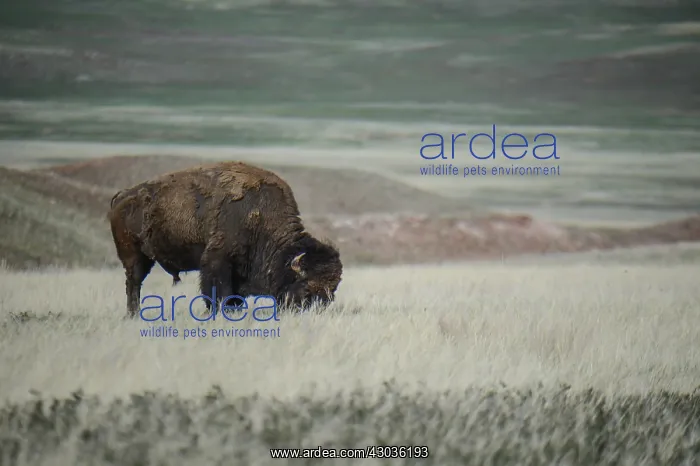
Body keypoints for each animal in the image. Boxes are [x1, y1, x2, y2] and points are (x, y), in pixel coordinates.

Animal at [108, 161, 343, 318]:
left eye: (332, 290)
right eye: (307, 289)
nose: (316, 313)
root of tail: (122, 196)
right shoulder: (217, 260)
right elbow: (218, 290)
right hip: (133, 256)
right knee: (134, 282)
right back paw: (133, 314)